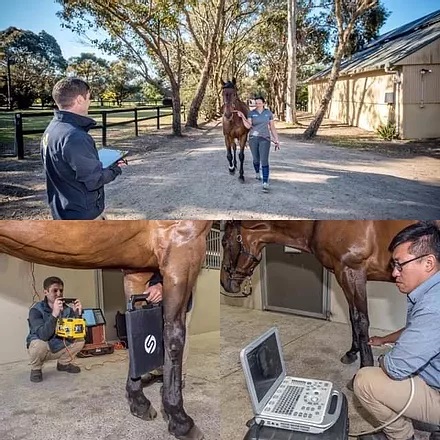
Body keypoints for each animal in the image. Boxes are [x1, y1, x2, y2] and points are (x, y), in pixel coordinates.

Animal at [222, 220, 424, 382]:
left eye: (224, 242)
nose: (224, 283)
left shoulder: (352, 272)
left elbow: (361, 320)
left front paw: (364, 367)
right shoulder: (344, 276)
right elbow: (353, 317)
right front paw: (351, 353)